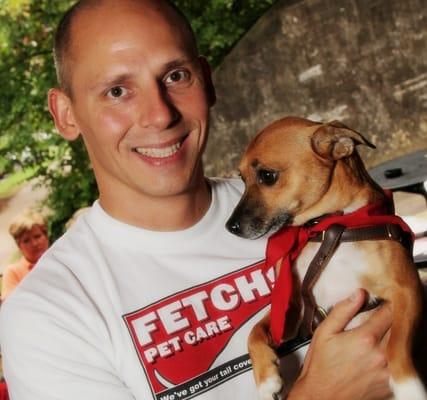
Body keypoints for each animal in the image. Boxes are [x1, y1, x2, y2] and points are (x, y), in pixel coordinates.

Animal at [226, 116, 426, 400]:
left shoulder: (407, 288)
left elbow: (397, 343)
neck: (324, 226)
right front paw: (266, 379)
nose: (229, 226)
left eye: (267, 176)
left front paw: (408, 386)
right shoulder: (293, 311)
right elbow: (254, 331)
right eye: (242, 179)